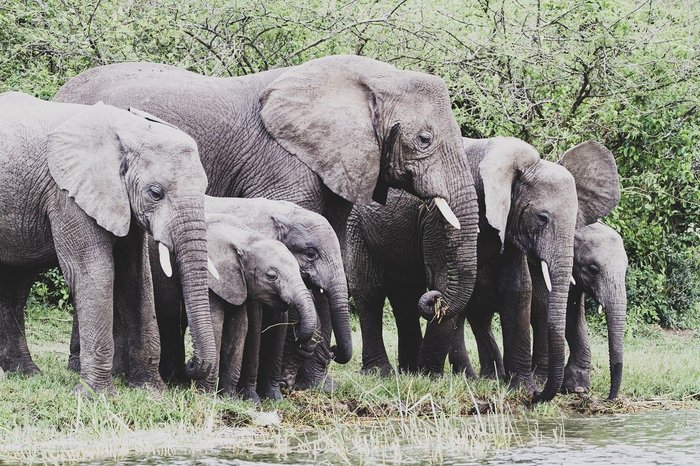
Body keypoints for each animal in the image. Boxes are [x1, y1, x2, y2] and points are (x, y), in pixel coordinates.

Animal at [56, 53, 482, 390]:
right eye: (424, 139)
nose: (433, 298)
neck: (372, 78)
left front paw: (316, 386)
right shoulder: (283, 163)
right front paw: (294, 382)